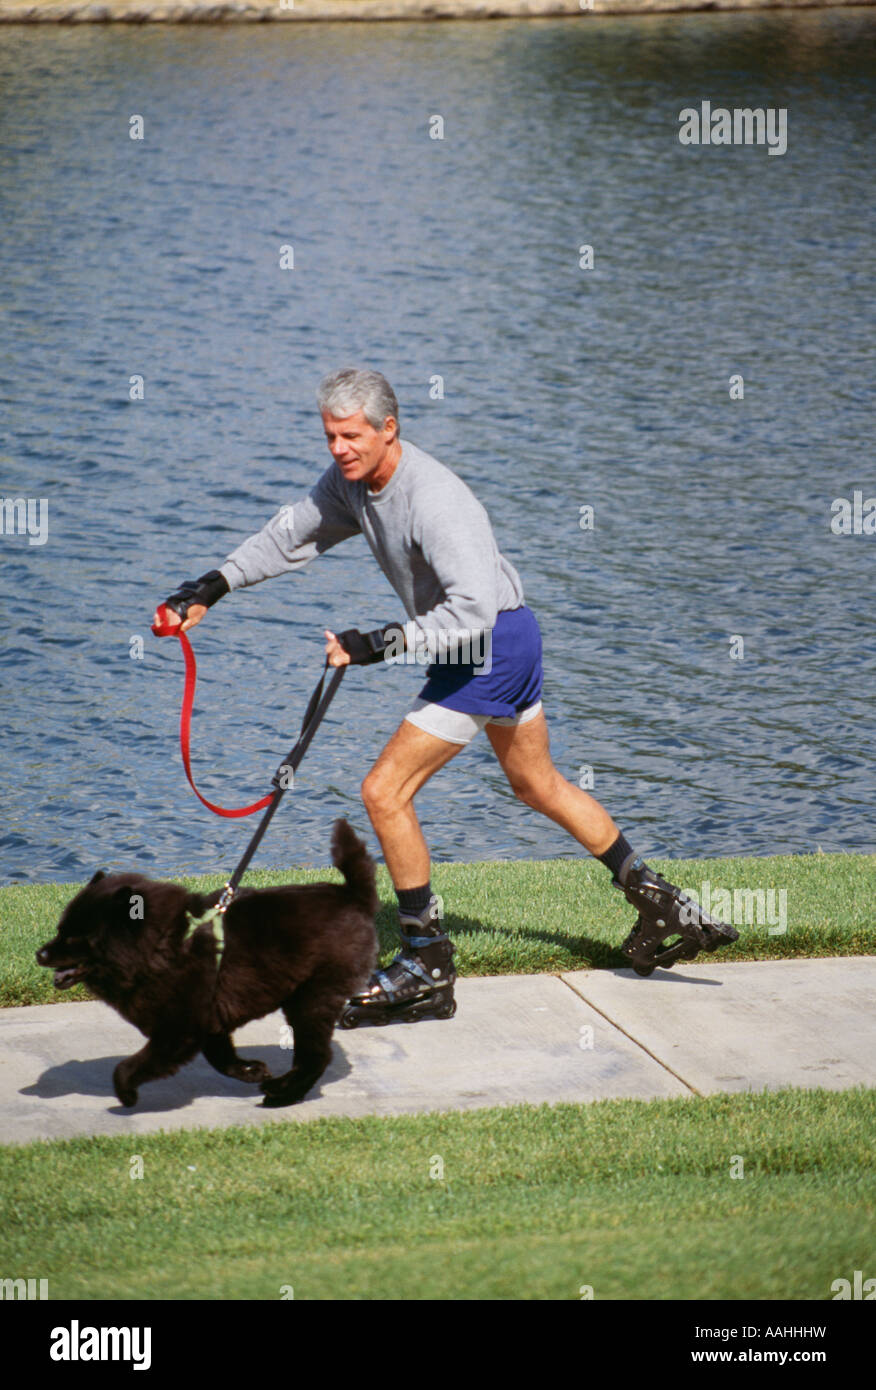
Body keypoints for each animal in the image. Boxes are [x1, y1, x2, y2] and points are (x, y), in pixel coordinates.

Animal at [36, 817, 378, 1112]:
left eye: (76, 937)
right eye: (60, 930)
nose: (40, 954)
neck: (160, 947)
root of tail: (353, 895)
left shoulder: (178, 1031)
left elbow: (128, 1066)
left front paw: (126, 1094)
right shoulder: (209, 1020)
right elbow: (221, 1057)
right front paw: (250, 1070)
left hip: (312, 998)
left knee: (316, 1057)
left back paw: (282, 1095)